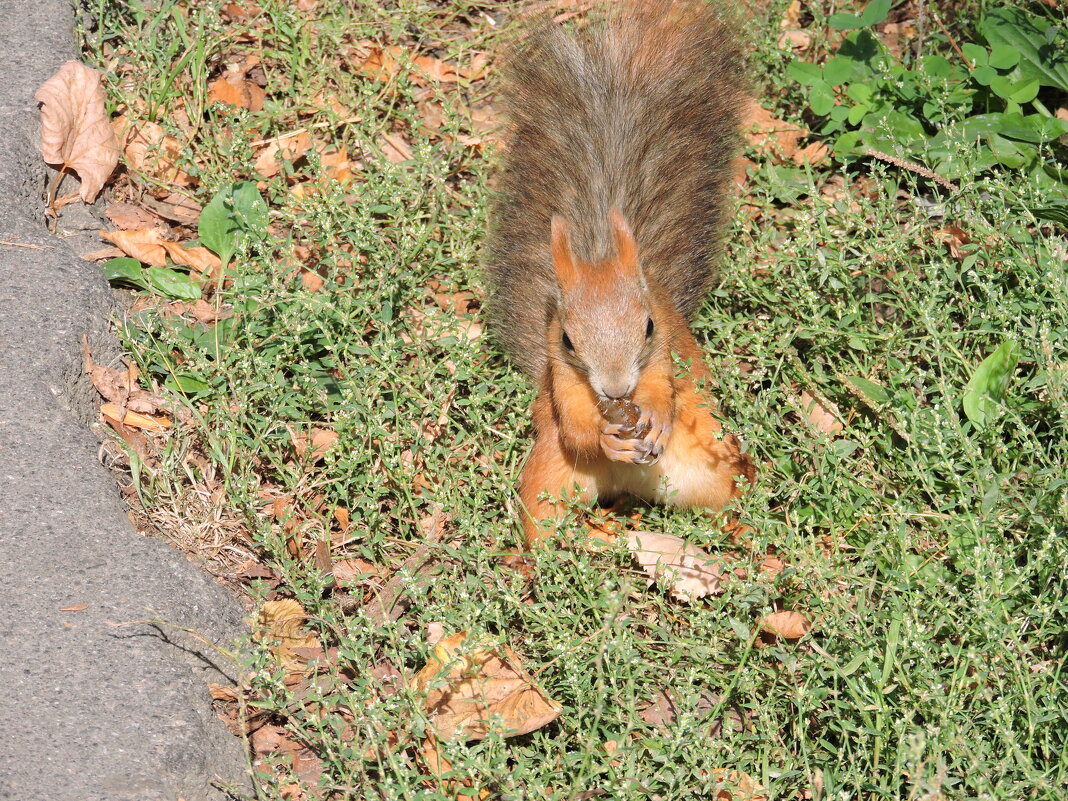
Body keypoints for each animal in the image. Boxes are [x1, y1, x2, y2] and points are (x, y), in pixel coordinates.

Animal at [489, 0, 756, 546]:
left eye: (649, 324)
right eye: (568, 338)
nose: (614, 390)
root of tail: (629, 487)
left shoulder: (664, 355)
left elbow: (664, 392)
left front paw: (651, 416)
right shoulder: (562, 379)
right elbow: (574, 426)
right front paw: (606, 434)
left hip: (710, 462)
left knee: (725, 496)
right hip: (552, 477)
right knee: (540, 521)